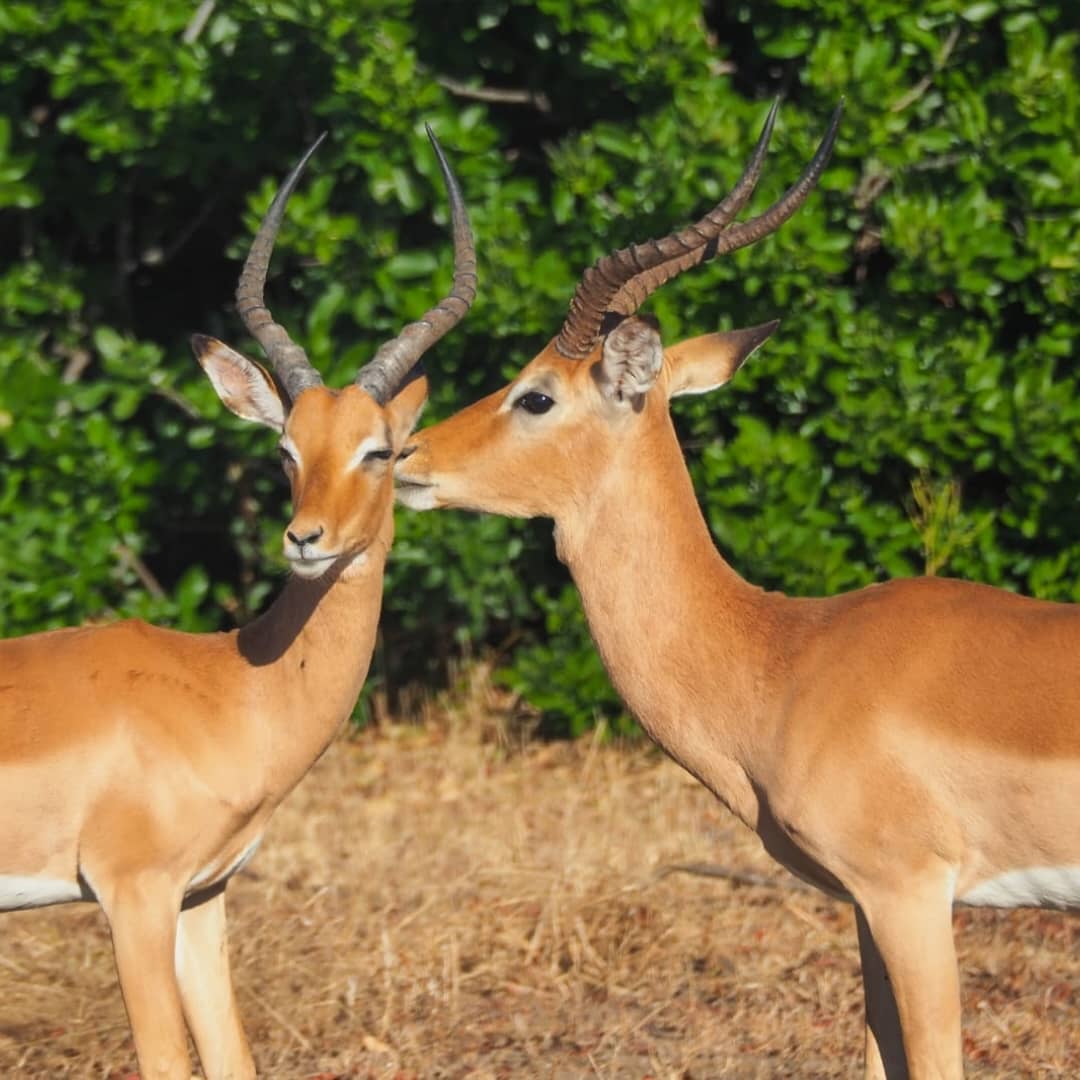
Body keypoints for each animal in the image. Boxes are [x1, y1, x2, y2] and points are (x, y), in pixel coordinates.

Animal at [0, 127, 475, 1080]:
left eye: (379, 449)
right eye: (287, 447)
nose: (306, 539)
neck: (231, 687)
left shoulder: (202, 897)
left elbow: (231, 1058)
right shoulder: (132, 896)